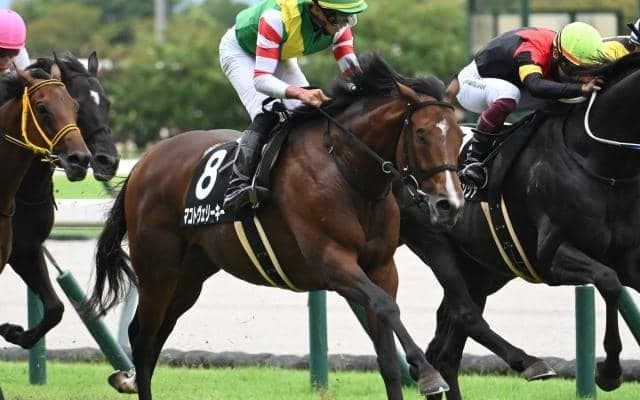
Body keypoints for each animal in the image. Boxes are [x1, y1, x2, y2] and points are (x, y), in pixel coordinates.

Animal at [86, 53, 464, 400]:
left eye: (459, 136)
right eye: (421, 135)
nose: (449, 204)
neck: (346, 170)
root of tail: (144, 163)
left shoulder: (382, 267)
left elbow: (386, 352)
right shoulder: (332, 262)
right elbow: (386, 306)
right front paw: (429, 373)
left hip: (189, 276)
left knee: (157, 334)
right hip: (158, 270)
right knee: (143, 337)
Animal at [396, 53, 640, 400]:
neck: (599, 161)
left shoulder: (629, 256)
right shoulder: (553, 256)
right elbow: (609, 282)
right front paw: (608, 372)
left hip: (482, 271)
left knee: (446, 352)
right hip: (434, 242)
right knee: (460, 319)